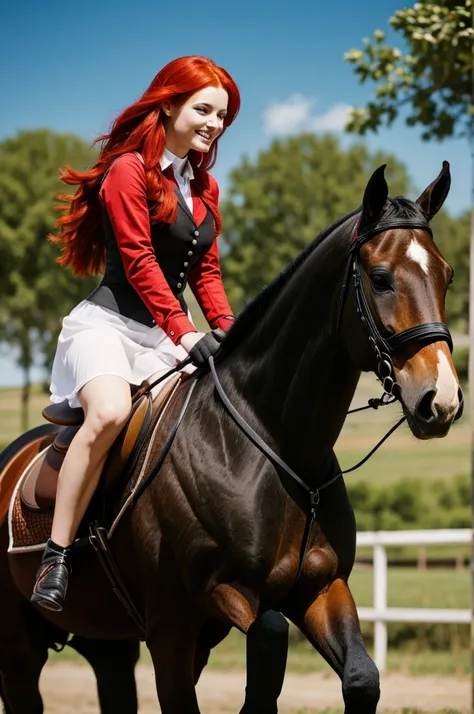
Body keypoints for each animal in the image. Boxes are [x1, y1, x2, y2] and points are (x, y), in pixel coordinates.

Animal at [0, 161, 462, 712]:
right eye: (381, 278)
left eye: (447, 275)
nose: (442, 399)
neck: (278, 447)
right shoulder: (181, 622)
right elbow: (267, 638)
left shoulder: (321, 586)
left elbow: (360, 677)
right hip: (21, 649)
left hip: (106, 644)